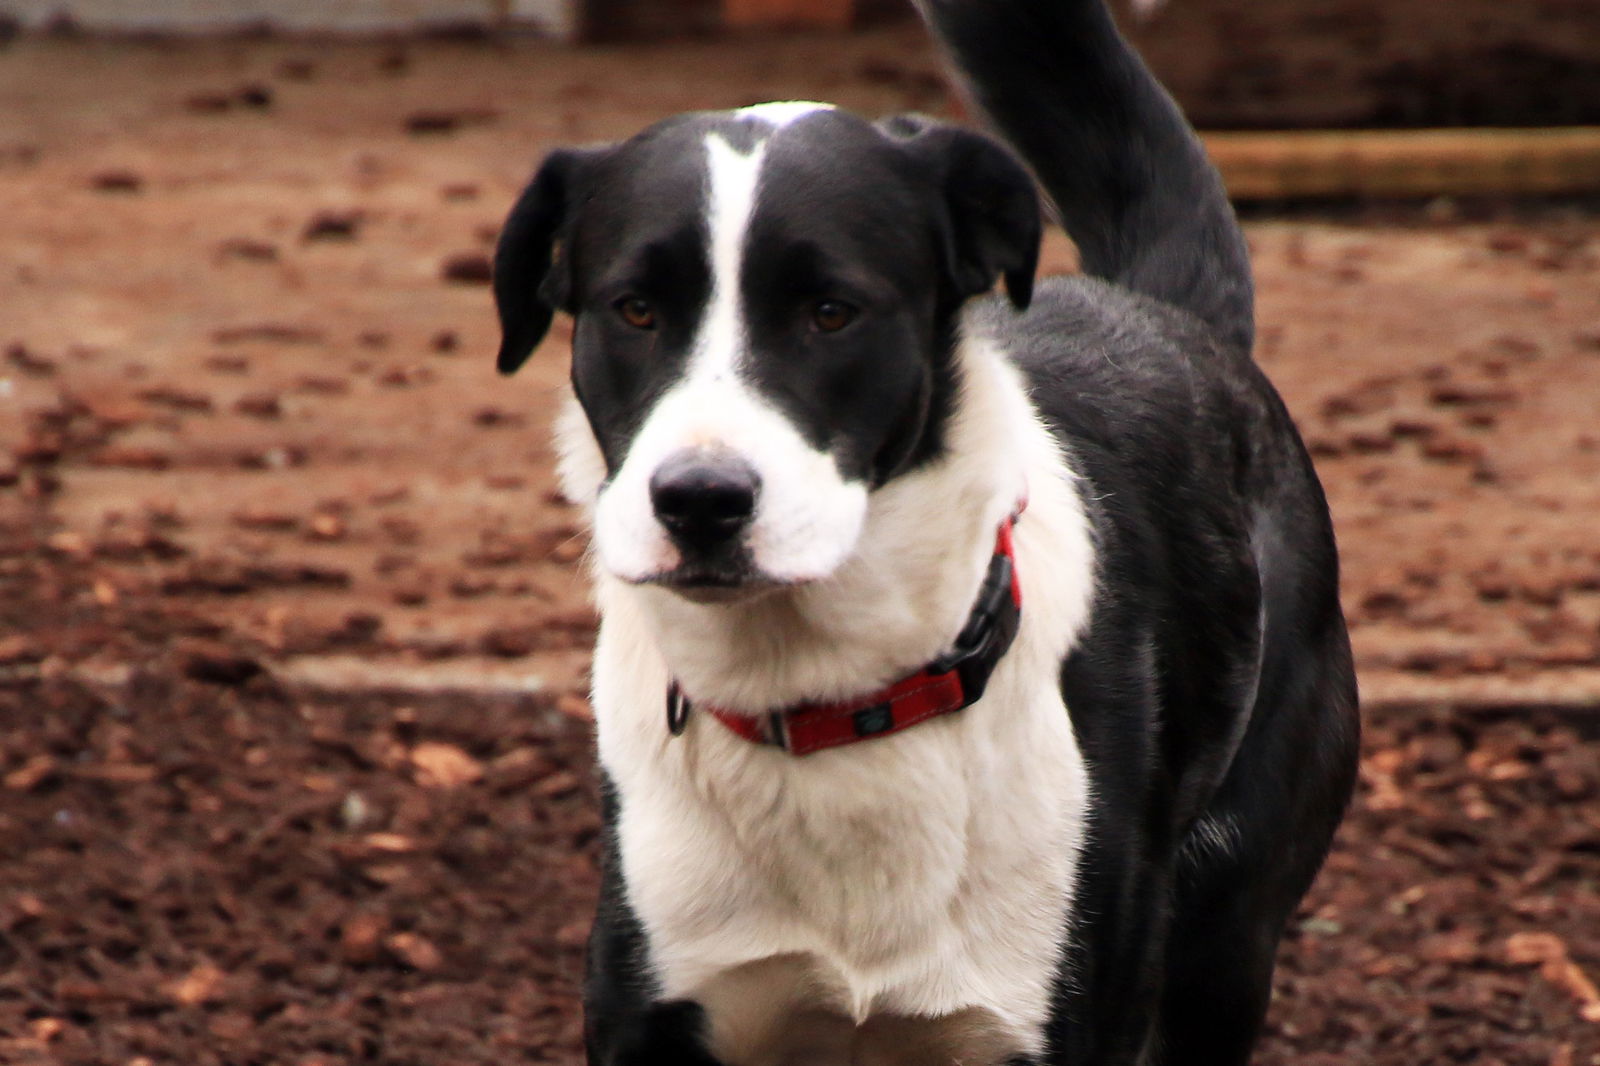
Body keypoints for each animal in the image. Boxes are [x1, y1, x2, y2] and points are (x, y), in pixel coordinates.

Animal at [492, 2, 1356, 1062]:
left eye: (832, 312)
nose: (699, 499)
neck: (827, 700)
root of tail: (1162, 309)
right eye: (635, 309)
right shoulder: (650, 1005)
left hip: (1228, 938)